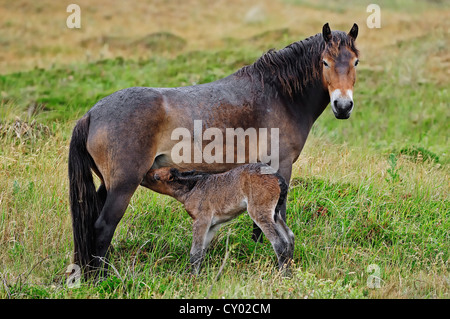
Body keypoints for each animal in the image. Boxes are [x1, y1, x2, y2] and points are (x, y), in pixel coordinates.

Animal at [142, 164, 294, 276]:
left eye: (156, 177)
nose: (143, 176)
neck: (192, 187)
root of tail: (277, 177)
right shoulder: (212, 225)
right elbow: (202, 251)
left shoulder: (201, 220)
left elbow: (195, 253)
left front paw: (193, 278)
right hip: (275, 213)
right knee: (290, 237)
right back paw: (290, 270)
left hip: (260, 212)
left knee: (279, 242)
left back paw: (282, 274)